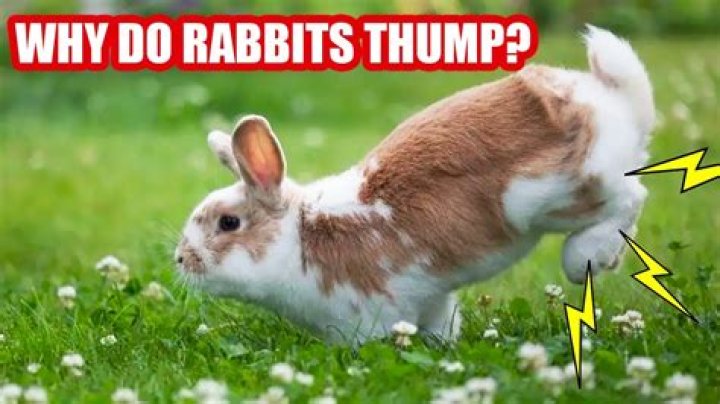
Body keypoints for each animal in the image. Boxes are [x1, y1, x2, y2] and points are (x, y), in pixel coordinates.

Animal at [176, 26, 654, 344]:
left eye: (228, 223)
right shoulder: (431, 299)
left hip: (553, 195)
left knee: (631, 197)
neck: (300, 236)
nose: (181, 259)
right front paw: (446, 348)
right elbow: (442, 325)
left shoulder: (369, 313)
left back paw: (589, 258)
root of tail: (611, 99)